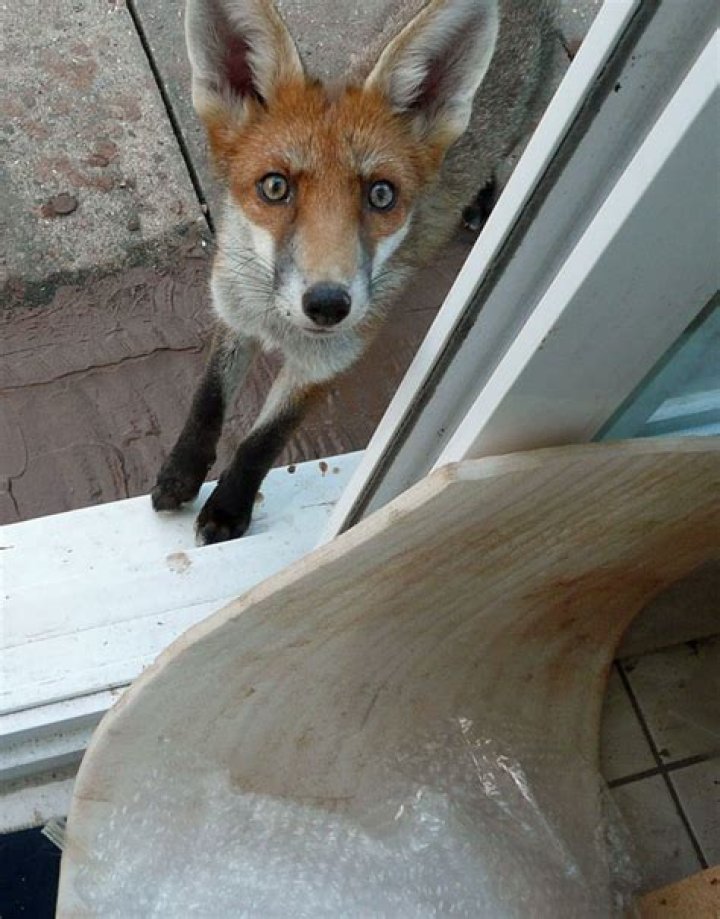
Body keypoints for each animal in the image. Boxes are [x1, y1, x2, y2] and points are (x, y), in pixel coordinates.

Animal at [152, 0, 558, 544]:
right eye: (275, 187)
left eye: (380, 195)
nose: (328, 304)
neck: (278, 324)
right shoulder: (235, 316)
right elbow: (207, 403)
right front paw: (180, 474)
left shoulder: (326, 362)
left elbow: (262, 442)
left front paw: (228, 509)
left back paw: (483, 198)